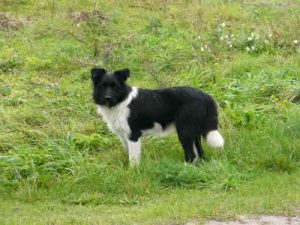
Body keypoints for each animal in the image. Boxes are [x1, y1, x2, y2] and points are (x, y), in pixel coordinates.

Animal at [91, 67, 223, 165]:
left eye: (115, 87)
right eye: (103, 86)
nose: (107, 98)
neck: (120, 101)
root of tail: (205, 95)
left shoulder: (133, 135)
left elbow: (133, 159)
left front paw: (133, 172)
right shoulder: (124, 136)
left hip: (185, 130)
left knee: (191, 154)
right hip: (193, 131)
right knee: (200, 153)